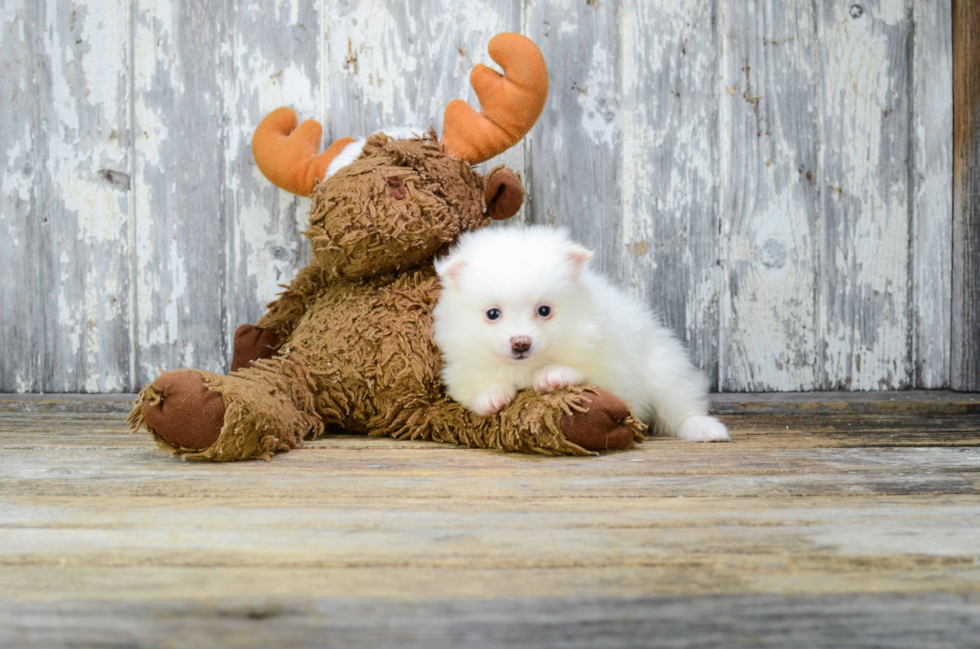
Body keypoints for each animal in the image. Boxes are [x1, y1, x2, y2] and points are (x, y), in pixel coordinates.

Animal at [432, 225, 732, 442]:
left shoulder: (615, 369)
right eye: (492, 314)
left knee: (681, 406)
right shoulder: (460, 371)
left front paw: (553, 376)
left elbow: (585, 371)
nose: (521, 343)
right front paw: (492, 397)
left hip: (664, 372)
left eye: (544, 310)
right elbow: (476, 385)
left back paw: (705, 430)